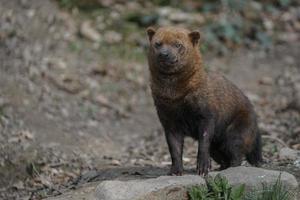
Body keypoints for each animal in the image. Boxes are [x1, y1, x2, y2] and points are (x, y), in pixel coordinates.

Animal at [146, 26, 262, 175]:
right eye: (158, 43)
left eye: (178, 44)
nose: (164, 54)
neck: (175, 97)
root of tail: (256, 127)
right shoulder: (168, 120)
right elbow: (174, 148)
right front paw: (175, 171)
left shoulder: (207, 113)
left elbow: (204, 140)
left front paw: (202, 168)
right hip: (217, 147)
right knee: (224, 157)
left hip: (238, 129)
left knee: (236, 153)